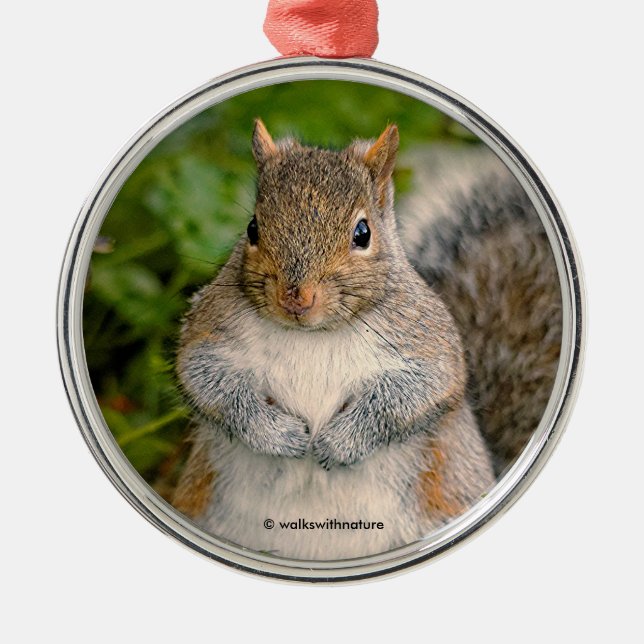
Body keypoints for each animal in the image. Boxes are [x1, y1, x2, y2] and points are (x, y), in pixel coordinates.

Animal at [172, 120, 560, 560]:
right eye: (253, 228)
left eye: (363, 233)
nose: (296, 297)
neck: (313, 335)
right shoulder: (210, 331)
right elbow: (207, 381)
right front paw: (278, 434)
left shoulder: (428, 342)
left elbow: (411, 395)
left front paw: (341, 443)